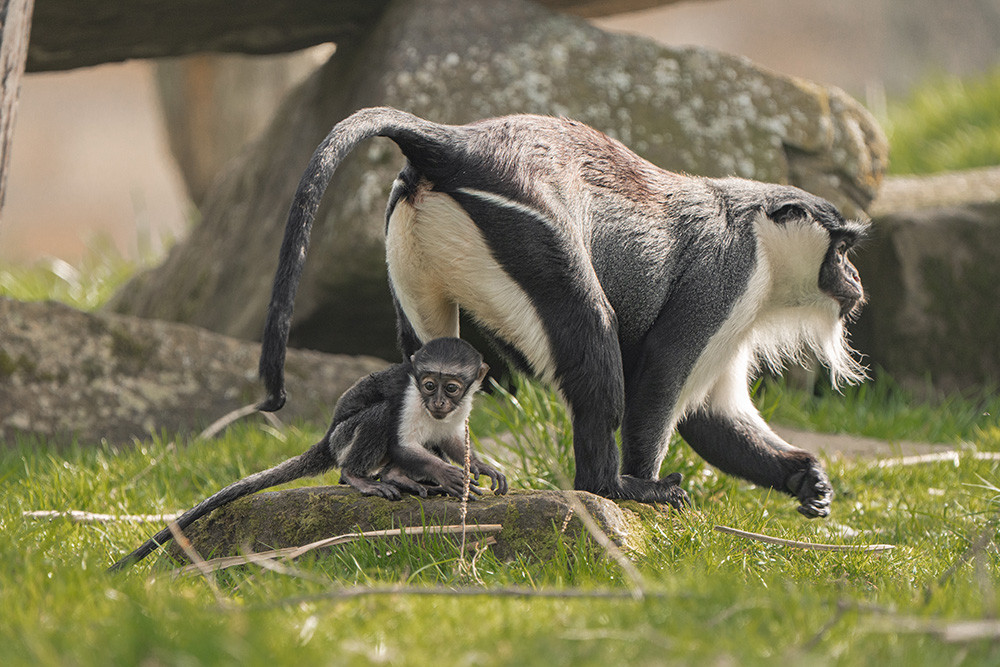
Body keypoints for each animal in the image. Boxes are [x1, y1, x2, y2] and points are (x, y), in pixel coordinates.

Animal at [108, 337, 506, 572]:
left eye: (450, 388)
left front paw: (480, 467)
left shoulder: (457, 411)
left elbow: (452, 440)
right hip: (345, 438)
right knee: (376, 419)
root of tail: (328, 437)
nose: (437, 401)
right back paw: (364, 477)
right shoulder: (409, 397)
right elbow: (401, 443)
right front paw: (448, 476)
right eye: (428, 384)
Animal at [258, 107, 868, 518]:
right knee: (594, 339)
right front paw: (646, 485)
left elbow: (711, 414)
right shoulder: (726, 278)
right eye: (842, 249)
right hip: (533, 236)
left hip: (412, 249)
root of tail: (455, 144)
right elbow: (661, 380)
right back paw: (611, 488)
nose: (856, 280)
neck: (760, 232)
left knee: (424, 357)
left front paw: (806, 478)